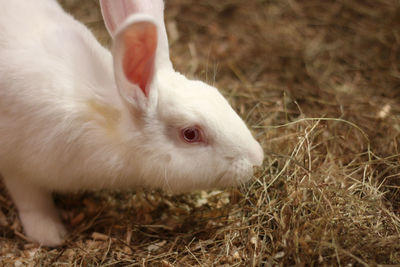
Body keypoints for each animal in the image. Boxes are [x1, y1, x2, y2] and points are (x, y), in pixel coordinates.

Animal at [0, 0, 264, 247]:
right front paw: (51, 234)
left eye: (215, 93)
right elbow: (32, 202)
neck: (107, 118)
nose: (257, 158)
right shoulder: (17, 167)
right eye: (190, 133)